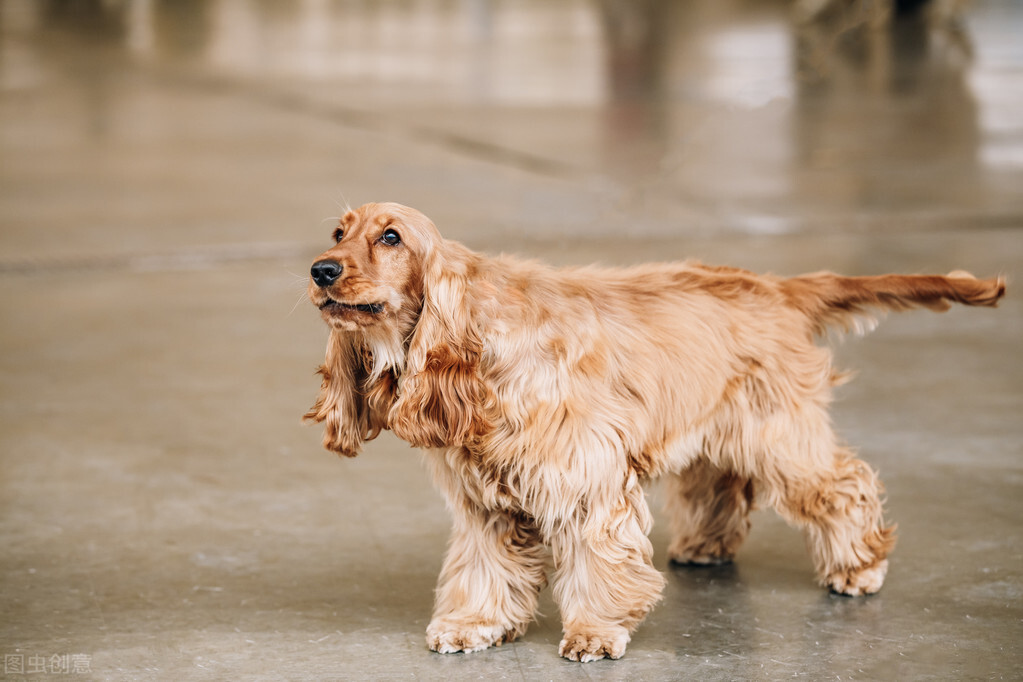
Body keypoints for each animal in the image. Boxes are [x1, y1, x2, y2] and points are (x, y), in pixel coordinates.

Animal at [304, 201, 1006, 662]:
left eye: (391, 237)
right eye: (338, 232)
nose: (321, 270)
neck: (477, 343)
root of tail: (775, 286)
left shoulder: (587, 479)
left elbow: (596, 562)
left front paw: (594, 633)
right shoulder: (485, 501)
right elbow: (483, 566)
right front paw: (473, 624)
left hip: (778, 433)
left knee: (843, 485)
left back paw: (858, 567)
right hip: (719, 427)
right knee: (722, 484)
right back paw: (706, 546)